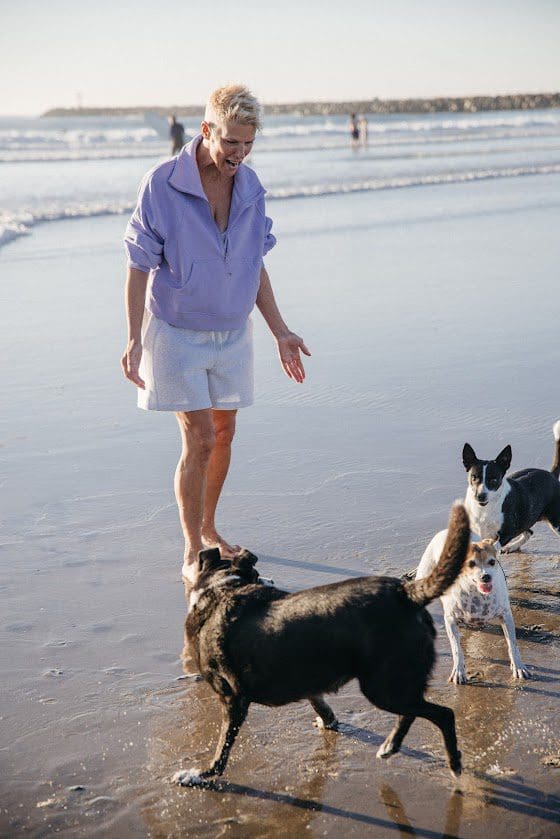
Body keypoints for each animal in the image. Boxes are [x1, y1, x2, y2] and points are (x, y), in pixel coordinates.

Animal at [174, 498, 468, 788]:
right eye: (257, 574)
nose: (271, 580)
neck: (222, 590)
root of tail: (406, 592)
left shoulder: (233, 698)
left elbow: (222, 747)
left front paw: (200, 774)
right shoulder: (305, 678)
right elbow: (319, 702)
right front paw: (329, 722)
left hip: (383, 686)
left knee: (442, 714)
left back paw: (453, 762)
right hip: (393, 684)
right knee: (412, 712)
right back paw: (390, 746)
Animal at [416, 536, 528, 684]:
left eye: (492, 562)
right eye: (471, 564)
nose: (486, 576)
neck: (476, 593)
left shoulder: (506, 616)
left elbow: (512, 644)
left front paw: (518, 666)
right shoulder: (450, 619)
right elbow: (456, 649)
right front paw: (458, 671)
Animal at [464, 424, 560, 556]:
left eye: (494, 480)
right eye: (474, 477)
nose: (480, 496)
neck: (485, 509)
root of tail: (552, 475)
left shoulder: (507, 533)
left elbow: (494, 545)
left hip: (555, 522)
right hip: (525, 518)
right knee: (529, 532)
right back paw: (512, 547)